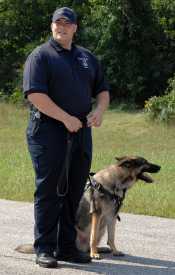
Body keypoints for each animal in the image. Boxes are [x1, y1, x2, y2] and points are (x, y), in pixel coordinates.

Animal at [15, 156, 161, 260]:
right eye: (145, 162)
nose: (160, 166)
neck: (116, 184)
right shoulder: (97, 213)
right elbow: (93, 237)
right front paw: (94, 254)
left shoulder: (111, 217)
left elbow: (111, 237)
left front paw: (114, 251)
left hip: (102, 228)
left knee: (91, 245)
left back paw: (101, 249)